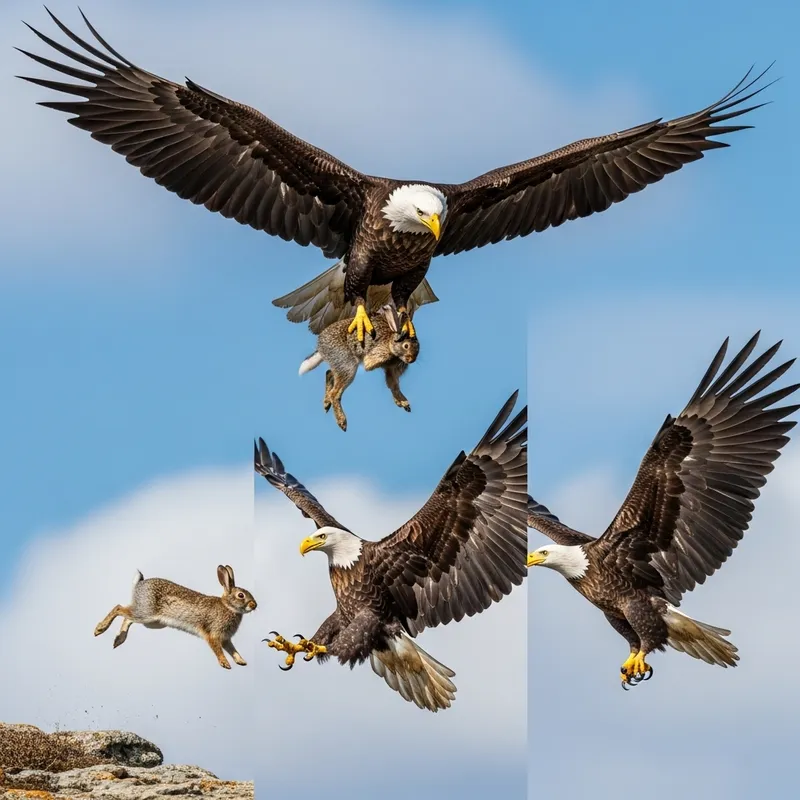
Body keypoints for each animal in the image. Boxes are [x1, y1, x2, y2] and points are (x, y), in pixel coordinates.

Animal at [94, 565, 257, 669]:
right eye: (241, 595)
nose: (254, 605)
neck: (228, 606)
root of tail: (140, 584)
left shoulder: (226, 639)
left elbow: (233, 650)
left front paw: (241, 662)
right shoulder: (214, 635)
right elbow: (218, 650)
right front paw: (225, 664)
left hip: (151, 621)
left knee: (128, 617)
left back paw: (119, 639)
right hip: (146, 614)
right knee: (119, 608)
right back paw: (99, 629)